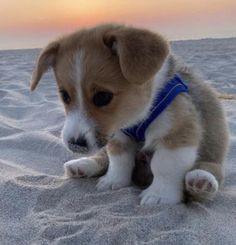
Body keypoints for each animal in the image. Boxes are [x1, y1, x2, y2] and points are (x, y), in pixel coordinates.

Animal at [30, 24, 230, 205]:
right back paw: (82, 165)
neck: (138, 116)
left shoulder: (178, 132)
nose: (75, 144)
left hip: (212, 155)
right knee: (103, 158)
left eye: (102, 97)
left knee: (211, 171)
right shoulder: (118, 134)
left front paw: (159, 195)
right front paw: (114, 181)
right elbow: (118, 160)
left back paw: (201, 180)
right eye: (65, 95)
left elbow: (164, 166)